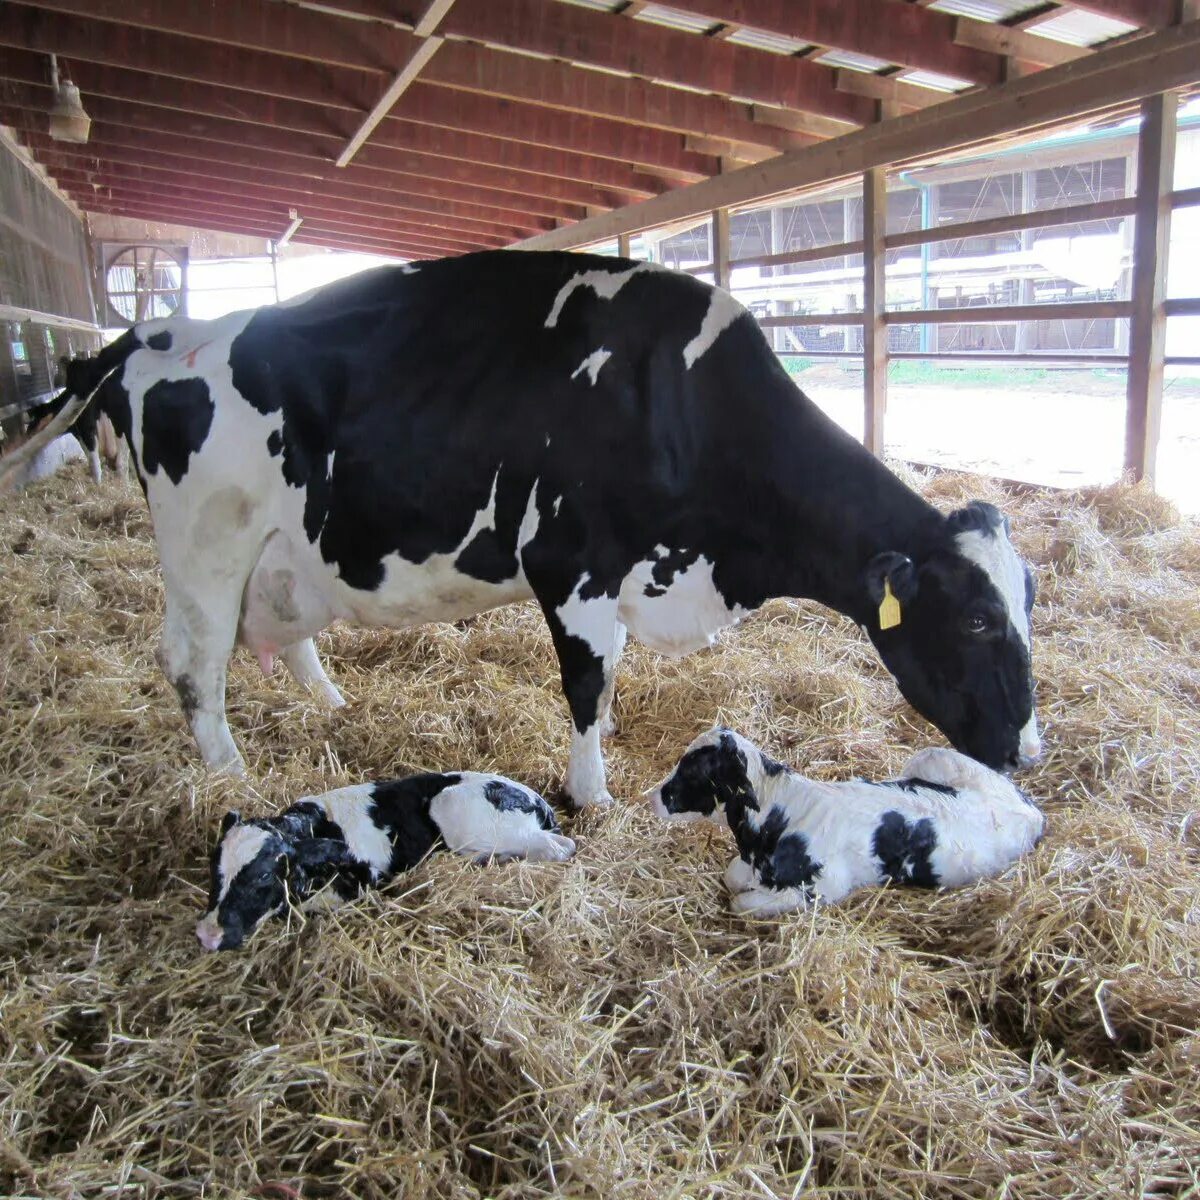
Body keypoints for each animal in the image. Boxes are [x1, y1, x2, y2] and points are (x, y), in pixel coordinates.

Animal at [0, 250, 1036, 806]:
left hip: (284, 553)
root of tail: (157, 332)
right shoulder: (573, 564)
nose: (1029, 753)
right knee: (193, 664)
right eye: (979, 620)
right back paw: (230, 777)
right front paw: (593, 792)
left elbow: (608, 683)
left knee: (282, 636)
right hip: (207, 549)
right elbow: (585, 685)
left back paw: (331, 706)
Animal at [194, 772, 573, 950]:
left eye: (263, 877)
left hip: (457, 810)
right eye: (214, 870)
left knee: (561, 846)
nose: (207, 935)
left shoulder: (367, 879)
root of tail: (535, 798)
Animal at [648, 724, 1041, 912]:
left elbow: (740, 903)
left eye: (693, 772)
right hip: (931, 758)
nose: (653, 797)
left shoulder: (823, 887)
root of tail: (1030, 810)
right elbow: (732, 878)